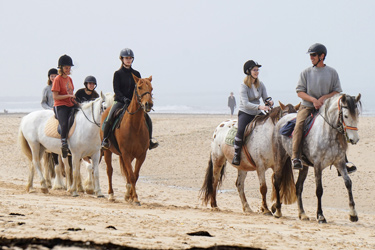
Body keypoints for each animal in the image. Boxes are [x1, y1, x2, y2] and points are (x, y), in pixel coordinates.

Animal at [101, 74, 154, 205]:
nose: (148, 104)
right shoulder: (126, 153)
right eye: (139, 87)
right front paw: (134, 198)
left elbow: (135, 175)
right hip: (108, 151)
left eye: (151, 88)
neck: (135, 126)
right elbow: (131, 175)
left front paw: (131, 196)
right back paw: (111, 195)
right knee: (109, 171)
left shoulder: (141, 155)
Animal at [272, 93, 362, 223]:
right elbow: (319, 190)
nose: (354, 139)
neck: (328, 133)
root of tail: (282, 120)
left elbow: (348, 183)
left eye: (357, 114)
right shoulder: (318, 166)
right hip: (280, 158)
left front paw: (353, 214)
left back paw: (302, 214)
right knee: (277, 181)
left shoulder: (340, 163)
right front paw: (320, 215)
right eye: (345, 116)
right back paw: (278, 211)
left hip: (304, 167)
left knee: (298, 187)